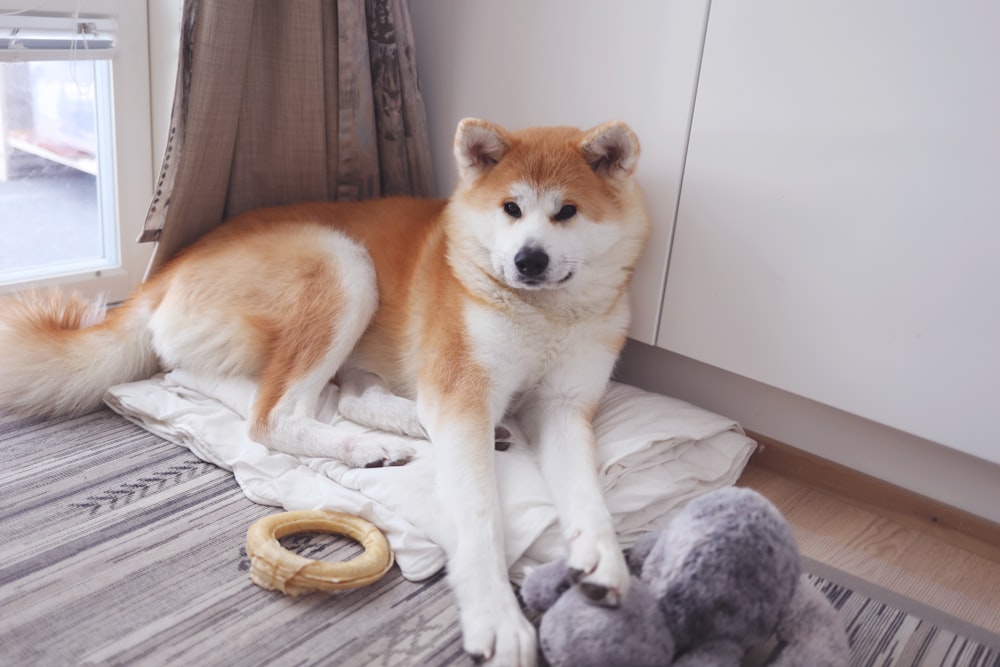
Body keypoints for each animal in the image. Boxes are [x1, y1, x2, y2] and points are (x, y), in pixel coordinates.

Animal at [0, 117, 648, 664]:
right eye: (511, 208)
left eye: (566, 213)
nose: (528, 260)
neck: (543, 314)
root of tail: (164, 272)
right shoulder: (462, 392)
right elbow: (480, 515)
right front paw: (497, 616)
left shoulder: (563, 407)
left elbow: (587, 494)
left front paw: (603, 562)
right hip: (344, 265)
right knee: (262, 411)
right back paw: (364, 447)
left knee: (276, 389)